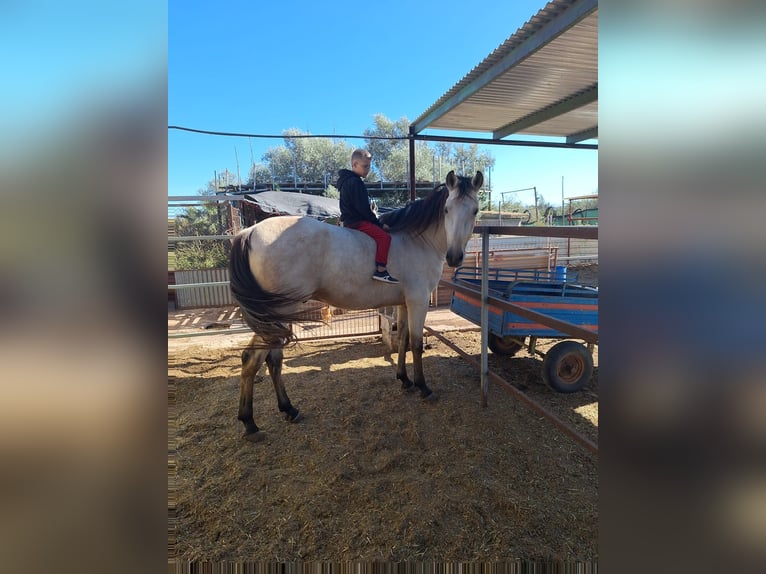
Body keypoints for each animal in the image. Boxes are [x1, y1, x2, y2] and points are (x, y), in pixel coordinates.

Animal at [228, 169, 484, 444]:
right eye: (446, 209)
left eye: (475, 210)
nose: (454, 257)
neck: (416, 240)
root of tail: (249, 232)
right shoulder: (418, 300)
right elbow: (416, 344)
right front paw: (423, 387)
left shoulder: (404, 303)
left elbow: (403, 339)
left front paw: (404, 380)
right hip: (280, 312)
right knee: (253, 359)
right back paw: (251, 423)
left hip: (277, 316)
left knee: (271, 359)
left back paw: (288, 410)